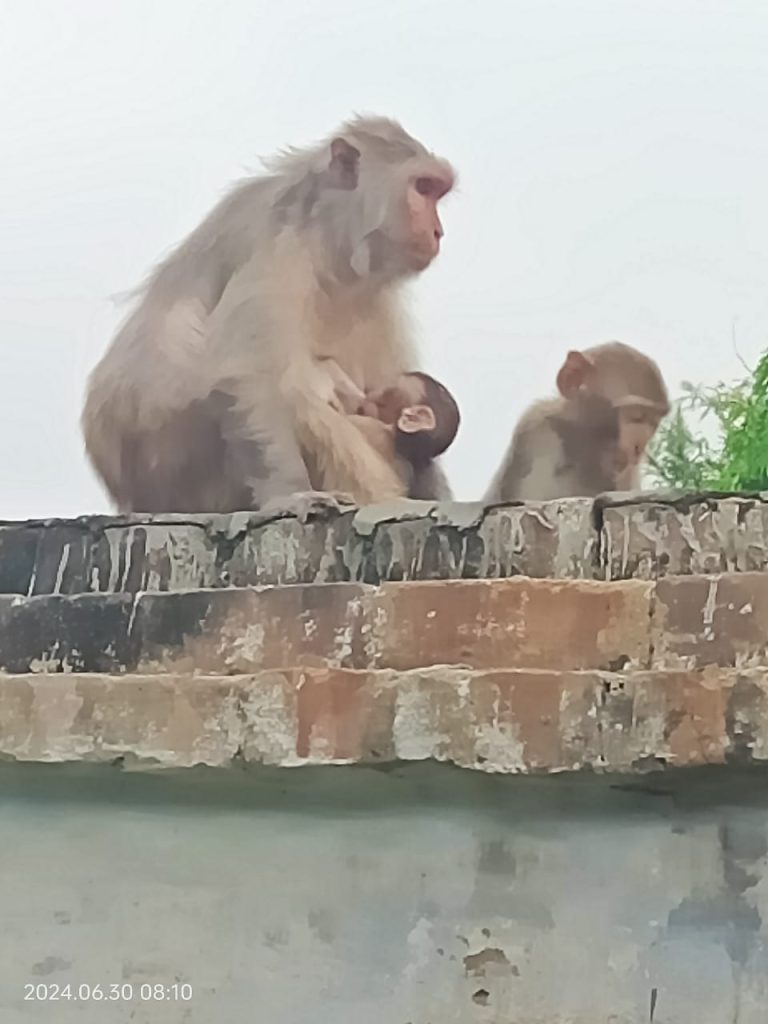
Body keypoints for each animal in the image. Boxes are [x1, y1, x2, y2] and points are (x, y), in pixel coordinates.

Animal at [81, 116, 456, 515]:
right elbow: (246, 375)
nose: (438, 232)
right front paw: (291, 494)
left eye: (437, 191)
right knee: (298, 387)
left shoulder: (377, 294)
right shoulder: (279, 250)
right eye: (423, 187)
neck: (329, 240)